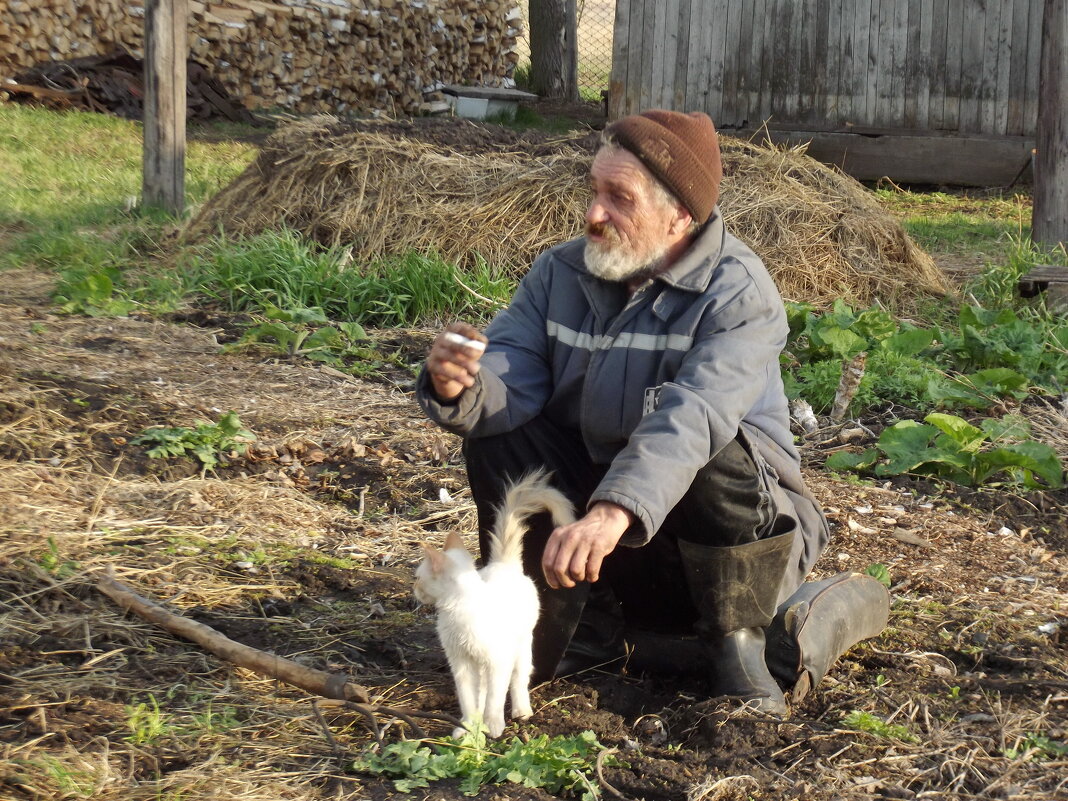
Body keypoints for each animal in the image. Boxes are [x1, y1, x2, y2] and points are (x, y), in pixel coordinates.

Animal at [412, 469, 576, 739]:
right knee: (482, 689)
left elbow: (496, 698)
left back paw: (521, 710)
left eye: (417, 577)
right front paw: (467, 727)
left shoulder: (499, 660)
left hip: (521, 646)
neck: (458, 612)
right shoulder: (461, 663)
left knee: (518, 679)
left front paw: (494, 725)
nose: (413, 589)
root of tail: (504, 564)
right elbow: (468, 698)